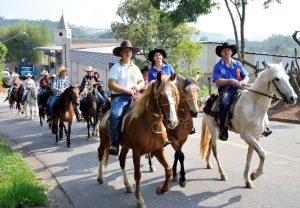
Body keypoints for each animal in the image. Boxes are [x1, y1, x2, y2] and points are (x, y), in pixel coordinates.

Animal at [97, 73, 179, 208]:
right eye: (161, 95)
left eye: (175, 93)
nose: (173, 122)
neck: (149, 123)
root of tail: (106, 112)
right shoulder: (136, 153)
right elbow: (137, 175)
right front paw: (139, 200)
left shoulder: (158, 150)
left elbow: (168, 169)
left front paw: (160, 190)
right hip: (104, 140)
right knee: (100, 153)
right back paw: (100, 177)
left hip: (125, 146)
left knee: (122, 160)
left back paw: (127, 185)